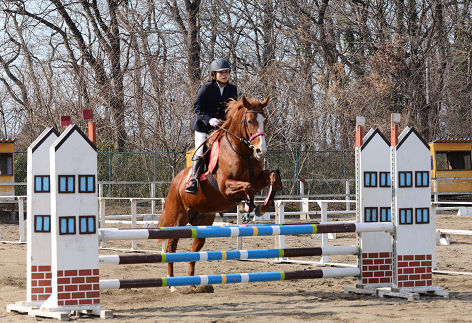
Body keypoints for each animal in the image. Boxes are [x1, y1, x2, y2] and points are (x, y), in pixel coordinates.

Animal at [159, 96, 282, 286]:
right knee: (171, 248)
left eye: (265, 120)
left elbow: (273, 177)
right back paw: (172, 284)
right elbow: (249, 187)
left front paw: (261, 208)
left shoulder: (259, 177)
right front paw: (249, 206)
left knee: (194, 250)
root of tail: (174, 184)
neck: (241, 151)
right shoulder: (225, 187)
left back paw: (193, 284)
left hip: (202, 223)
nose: (261, 151)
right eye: (249, 121)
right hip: (176, 220)